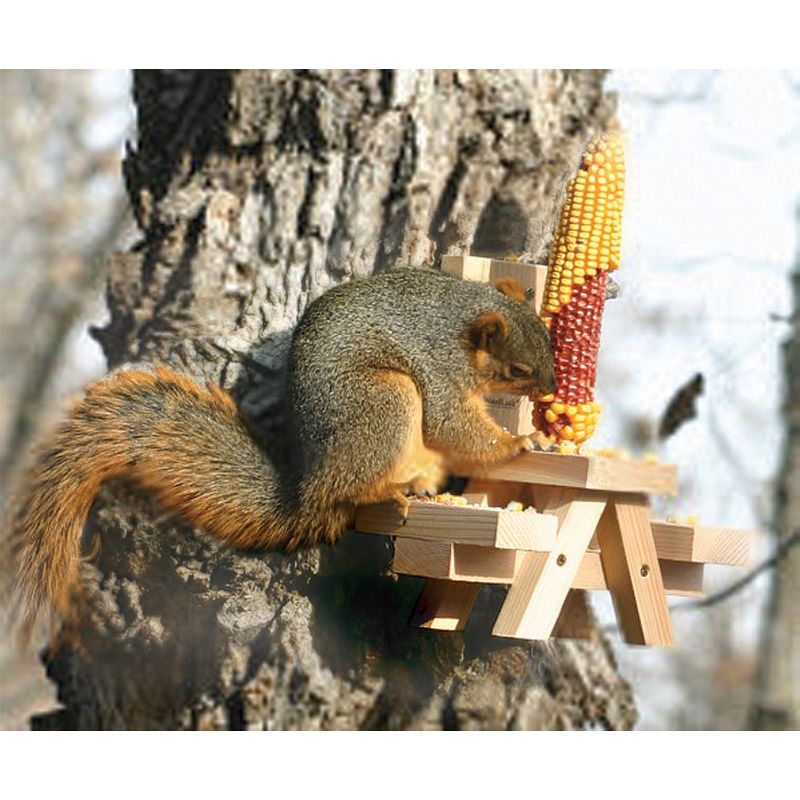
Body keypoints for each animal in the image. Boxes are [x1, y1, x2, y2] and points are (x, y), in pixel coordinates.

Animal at [4, 267, 556, 636]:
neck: (460, 322)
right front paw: (520, 442)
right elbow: (454, 426)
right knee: (355, 490)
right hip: (385, 399)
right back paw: (392, 493)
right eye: (517, 370)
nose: (552, 390)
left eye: (550, 342)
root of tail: (309, 491)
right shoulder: (440, 372)